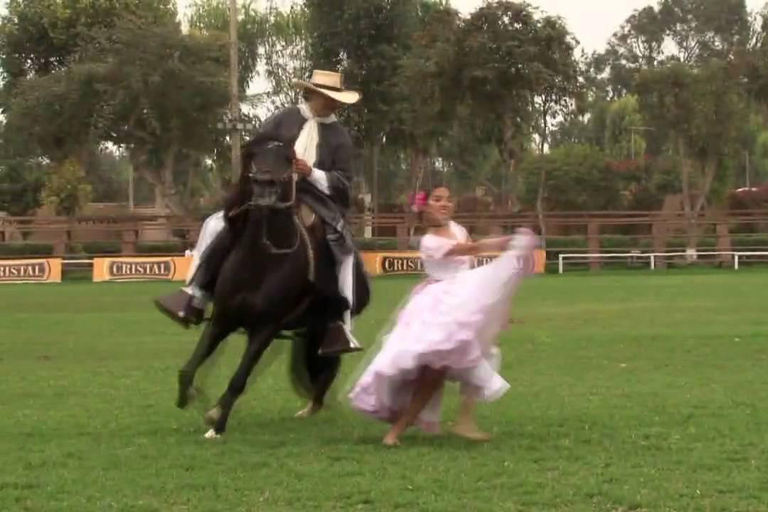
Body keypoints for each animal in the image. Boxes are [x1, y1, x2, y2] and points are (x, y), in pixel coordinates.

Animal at [180, 141, 372, 440]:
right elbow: (192, 364)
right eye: (255, 156)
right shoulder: (223, 319)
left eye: (289, 158)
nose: (264, 186)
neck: (262, 260)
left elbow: (239, 378)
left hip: (318, 326)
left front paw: (218, 425)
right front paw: (193, 399)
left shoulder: (265, 328)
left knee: (328, 364)